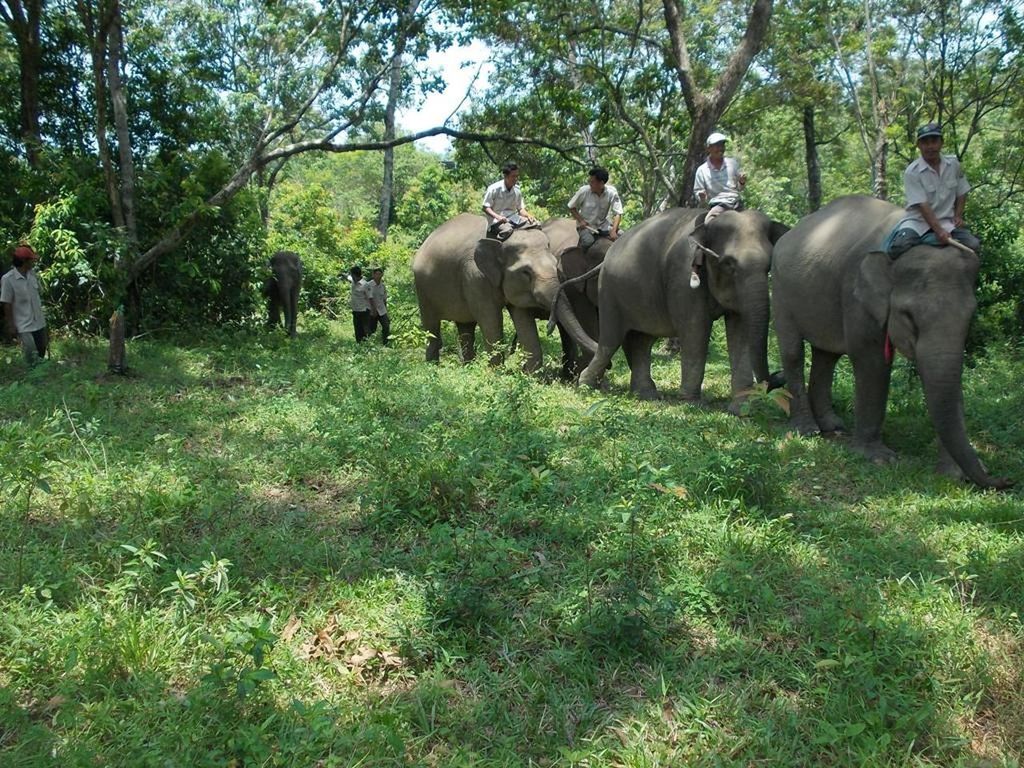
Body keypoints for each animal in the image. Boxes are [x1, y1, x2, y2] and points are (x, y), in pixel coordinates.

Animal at [411, 214, 598, 372]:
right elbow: (490, 319)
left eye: (555, 265)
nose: (549, 325)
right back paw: (432, 368)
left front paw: (529, 375)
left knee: (465, 327)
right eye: (526, 272)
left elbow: (522, 318)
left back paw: (467, 367)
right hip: (422, 288)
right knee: (431, 327)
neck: (500, 241)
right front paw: (496, 374)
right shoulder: (475, 276)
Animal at [577, 202, 790, 409]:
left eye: (769, 265)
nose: (778, 375)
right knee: (610, 340)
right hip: (609, 292)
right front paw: (692, 404)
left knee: (642, 341)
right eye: (728, 264)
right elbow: (695, 330)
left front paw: (742, 410)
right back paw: (586, 386)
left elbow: (740, 330)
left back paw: (646, 395)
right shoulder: (683, 275)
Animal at [774, 195, 1007, 489]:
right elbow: (871, 361)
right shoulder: (856, 295)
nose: (1004, 480)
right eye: (908, 316)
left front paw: (955, 473)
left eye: (971, 315)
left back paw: (833, 426)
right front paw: (879, 459)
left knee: (826, 355)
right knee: (793, 351)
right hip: (781, 290)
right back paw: (807, 431)